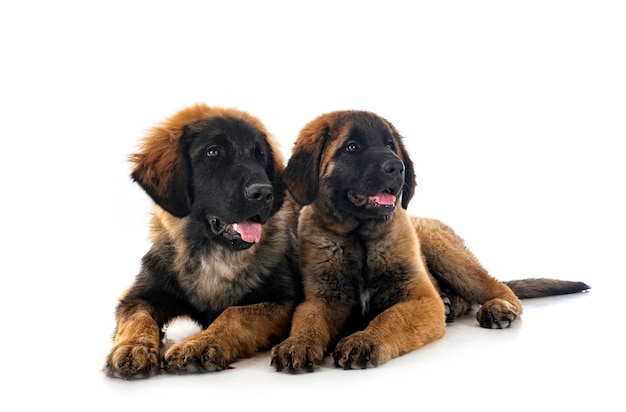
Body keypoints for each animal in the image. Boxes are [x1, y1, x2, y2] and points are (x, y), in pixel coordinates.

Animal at [103, 104, 302, 380]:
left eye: (259, 156)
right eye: (213, 152)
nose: (264, 193)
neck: (212, 254)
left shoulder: (284, 302)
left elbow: (235, 313)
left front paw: (200, 344)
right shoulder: (137, 296)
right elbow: (138, 319)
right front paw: (134, 347)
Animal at [270, 109, 588, 374]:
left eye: (390, 146)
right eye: (351, 147)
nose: (396, 167)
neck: (360, 240)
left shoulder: (420, 300)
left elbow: (390, 318)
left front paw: (364, 339)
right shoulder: (322, 299)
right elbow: (307, 320)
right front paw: (298, 344)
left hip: (447, 254)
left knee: (499, 289)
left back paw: (497, 307)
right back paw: (452, 304)